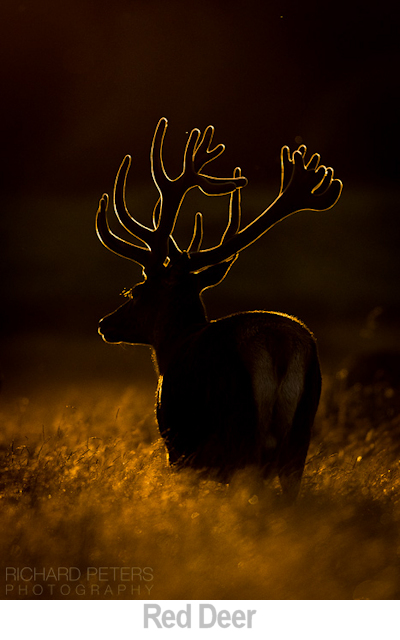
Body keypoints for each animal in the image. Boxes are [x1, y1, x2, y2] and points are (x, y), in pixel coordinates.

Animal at [96, 117, 342, 500]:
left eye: (135, 291)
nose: (106, 323)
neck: (171, 346)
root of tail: (279, 345)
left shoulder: (177, 445)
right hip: (301, 433)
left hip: (234, 430)